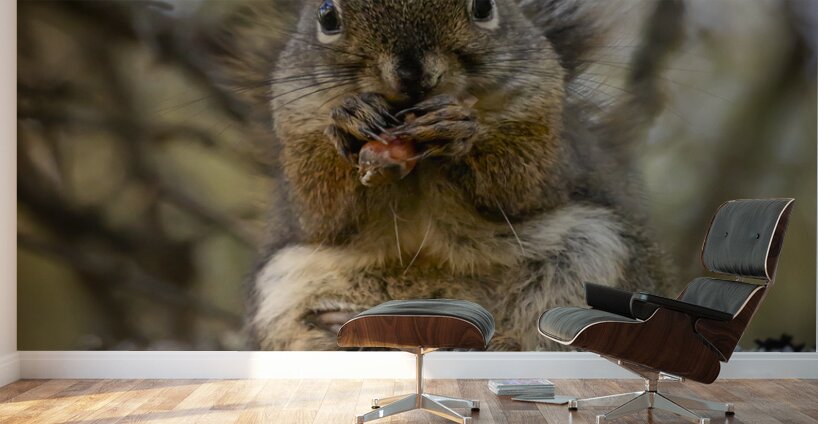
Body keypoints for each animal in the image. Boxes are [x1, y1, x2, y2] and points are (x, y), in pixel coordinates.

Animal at [212, 0, 683, 351]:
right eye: (327, 15)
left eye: (484, 6)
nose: (411, 74)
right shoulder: (297, 135)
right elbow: (323, 211)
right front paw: (350, 119)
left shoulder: (553, 139)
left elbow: (523, 184)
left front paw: (459, 130)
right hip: (286, 292)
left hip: (592, 256)